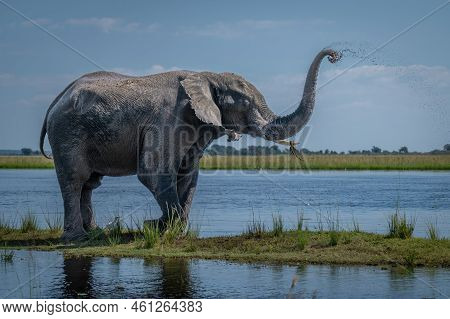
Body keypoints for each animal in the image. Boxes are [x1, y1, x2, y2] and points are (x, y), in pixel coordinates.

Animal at [39, 48, 342, 241]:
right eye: (245, 103)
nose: (333, 55)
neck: (207, 76)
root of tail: (56, 100)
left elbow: (188, 176)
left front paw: (167, 229)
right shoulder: (166, 120)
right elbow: (155, 173)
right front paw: (158, 227)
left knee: (90, 184)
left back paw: (95, 232)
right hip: (67, 133)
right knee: (75, 179)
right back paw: (76, 238)